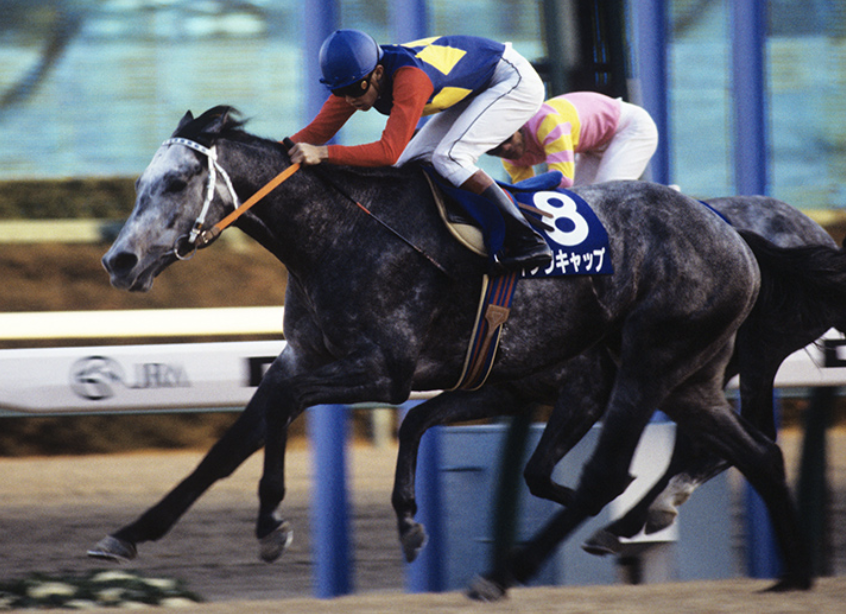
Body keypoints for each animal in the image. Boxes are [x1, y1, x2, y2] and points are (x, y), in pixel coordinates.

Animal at [93, 106, 807, 593]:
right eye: (142, 182)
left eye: (178, 182)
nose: (118, 261)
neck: (337, 235)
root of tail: (731, 231)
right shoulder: (308, 357)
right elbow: (236, 440)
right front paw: (129, 537)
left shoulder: (385, 370)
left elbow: (293, 405)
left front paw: (272, 523)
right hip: (689, 378)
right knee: (758, 452)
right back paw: (789, 577)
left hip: (645, 363)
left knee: (612, 472)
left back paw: (510, 571)